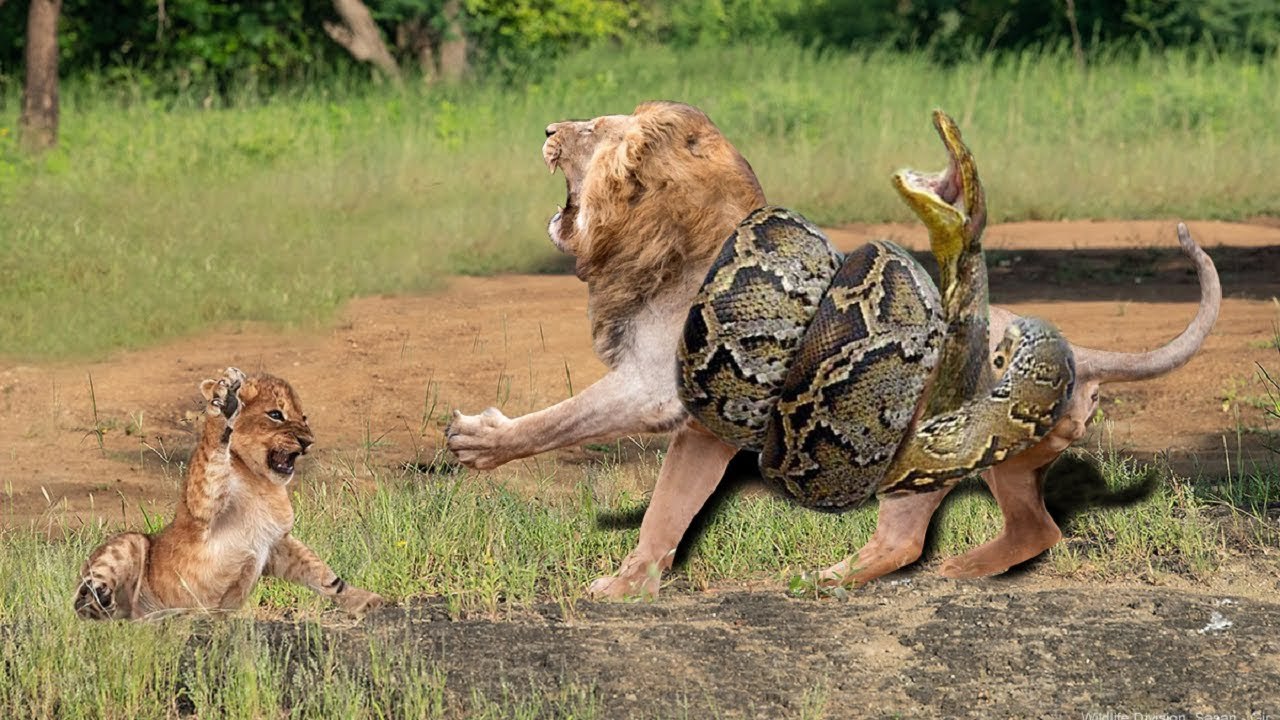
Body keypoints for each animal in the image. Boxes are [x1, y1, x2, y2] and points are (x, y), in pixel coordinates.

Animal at [74, 368, 383, 620]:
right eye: (275, 414)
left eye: (303, 417)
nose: (308, 441)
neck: (263, 485)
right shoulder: (202, 510)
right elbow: (212, 453)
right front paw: (225, 405)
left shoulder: (277, 542)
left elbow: (324, 575)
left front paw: (364, 600)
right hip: (131, 542)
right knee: (85, 602)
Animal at [447, 101, 1220, 599]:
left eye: (593, 131)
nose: (548, 129)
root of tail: (1079, 353)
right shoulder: (704, 428)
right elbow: (669, 508)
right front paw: (628, 586)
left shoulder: (653, 385)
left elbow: (561, 419)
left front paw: (481, 443)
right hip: (983, 457)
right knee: (1032, 529)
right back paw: (919, 572)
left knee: (939, 536)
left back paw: (851, 577)